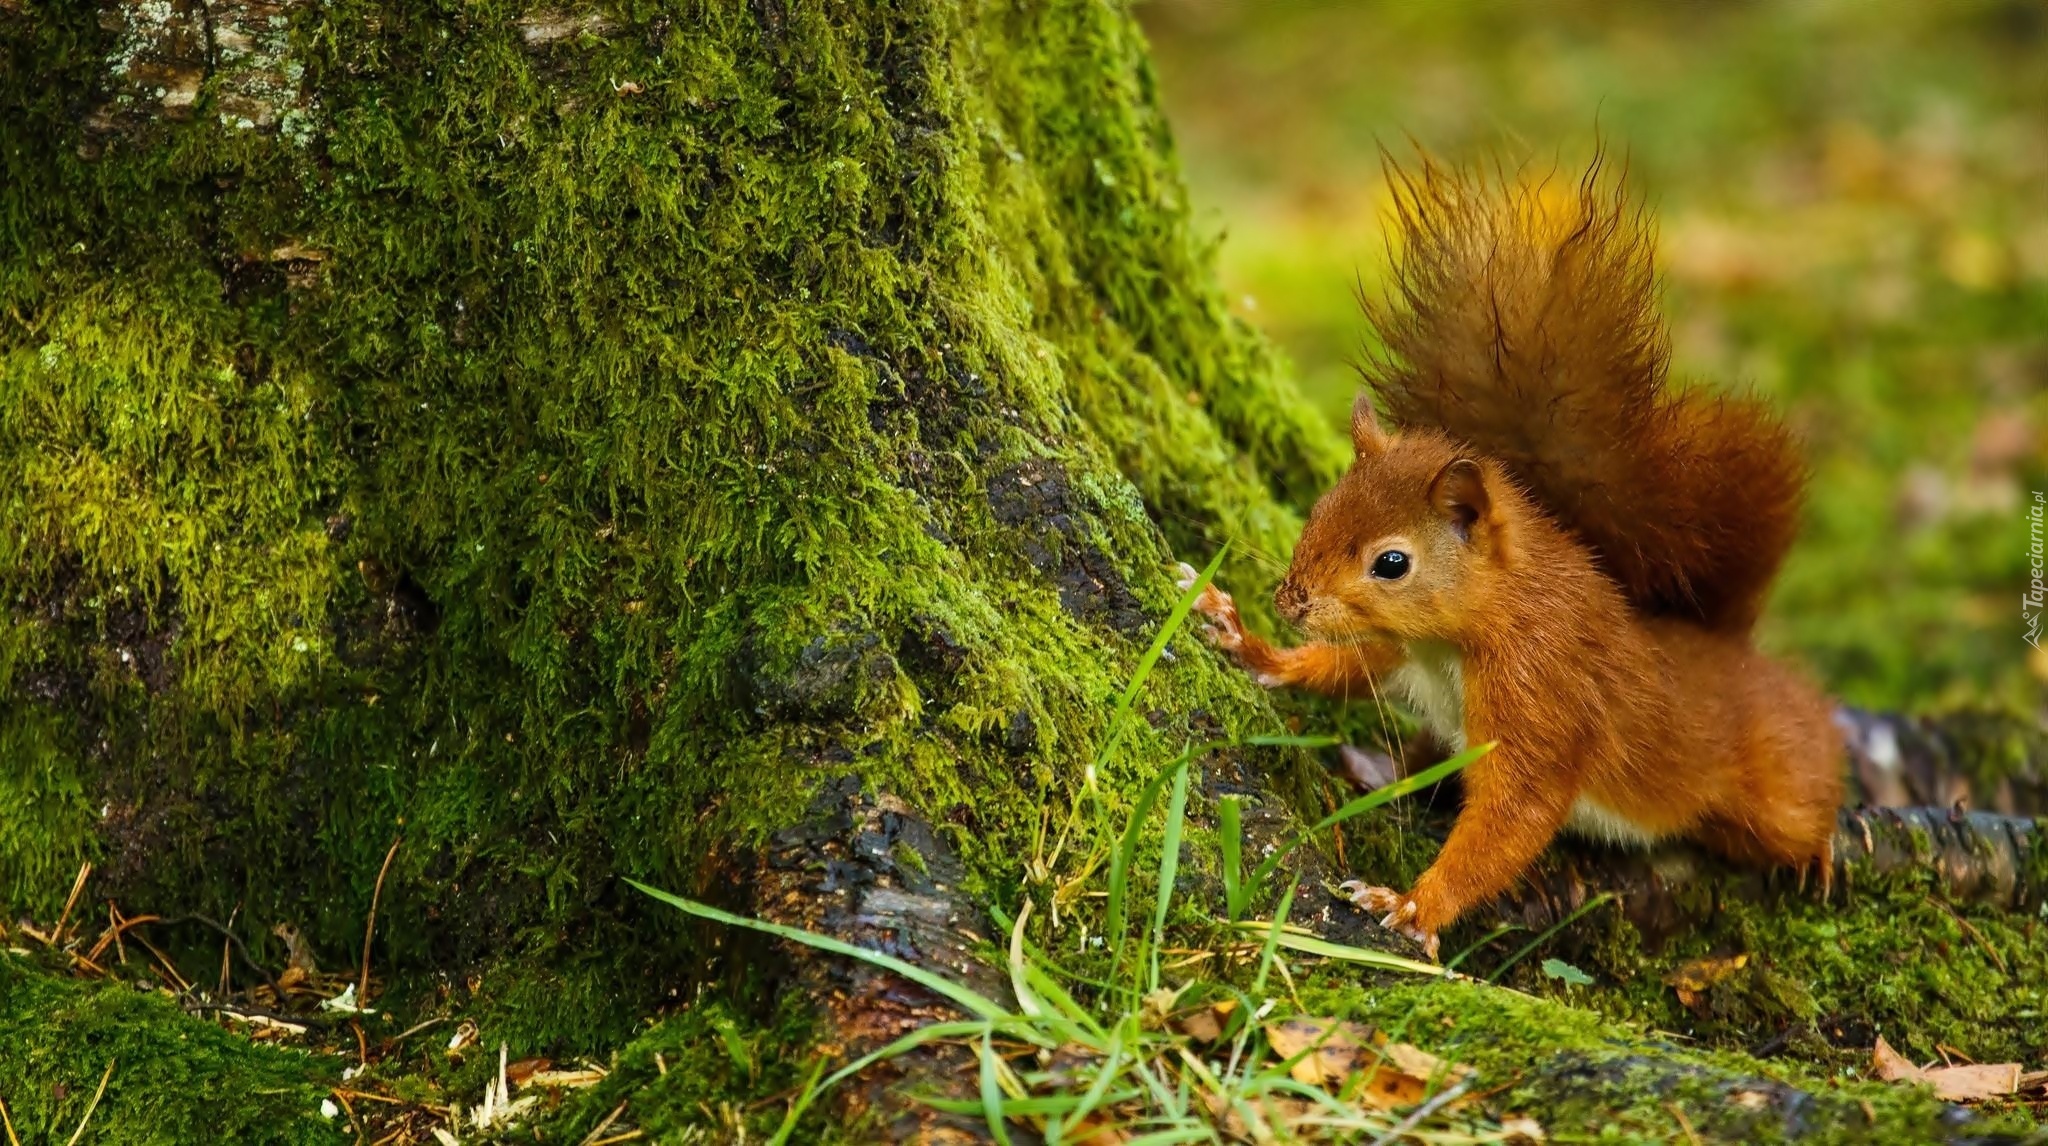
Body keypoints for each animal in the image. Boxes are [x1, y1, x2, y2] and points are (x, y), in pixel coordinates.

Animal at [1187, 158, 1843, 957]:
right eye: (1319, 509)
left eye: (1392, 563)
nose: (1291, 601)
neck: (1461, 637)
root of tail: (1730, 648)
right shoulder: (1401, 652)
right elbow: (1349, 667)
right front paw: (1247, 642)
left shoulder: (1543, 694)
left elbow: (1515, 815)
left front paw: (1415, 905)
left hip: (1773, 781)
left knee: (1807, 797)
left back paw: (1819, 849)